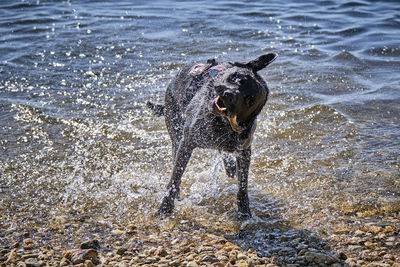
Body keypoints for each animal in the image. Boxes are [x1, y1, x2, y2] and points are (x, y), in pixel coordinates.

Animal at [150, 52, 278, 220]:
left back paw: (229, 165)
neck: (221, 123)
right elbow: (175, 178)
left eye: (249, 99)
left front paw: (244, 212)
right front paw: (165, 208)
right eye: (236, 77)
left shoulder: (244, 151)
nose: (228, 95)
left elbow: (243, 186)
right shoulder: (187, 143)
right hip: (175, 130)